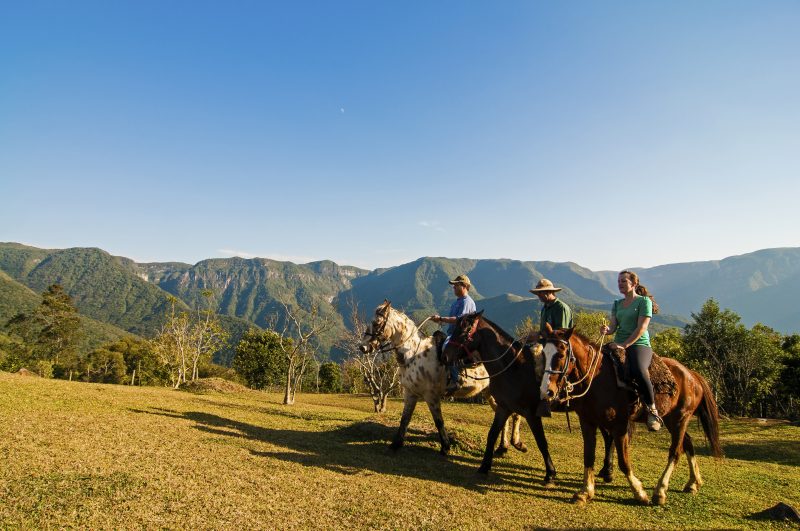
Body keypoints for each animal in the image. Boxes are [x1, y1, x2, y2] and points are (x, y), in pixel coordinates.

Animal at [358, 304, 524, 458]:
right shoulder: (410, 393)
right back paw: (503, 447)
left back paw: (515, 444)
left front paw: (445, 447)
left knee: (514, 415)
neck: (413, 354)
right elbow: (405, 419)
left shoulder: (431, 396)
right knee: (505, 416)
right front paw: (396, 444)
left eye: (377, 323)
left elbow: (438, 421)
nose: (363, 347)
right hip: (489, 393)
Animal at [440, 310, 616, 488]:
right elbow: (492, 434)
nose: (444, 355)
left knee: (610, 436)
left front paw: (550, 473)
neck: (513, 368)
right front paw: (484, 466)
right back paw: (605, 470)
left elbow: (541, 441)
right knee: (609, 437)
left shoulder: (532, 413)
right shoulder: (504, 408)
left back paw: (608, 471)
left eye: (464, 331)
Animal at [540, 324, 720, 508]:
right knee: (688, 443)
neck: (596, 378)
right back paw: (693, 483)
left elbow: (623, 461)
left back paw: (660, 491)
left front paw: (639, 492)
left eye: (561, 354)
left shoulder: (619, 426)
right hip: (671, 419)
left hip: (680, 418)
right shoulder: (588, 422)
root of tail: (691, 375)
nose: (547, 391)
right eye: (543, 354)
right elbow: (588, 456)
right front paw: (585, 492)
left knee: (675, 452)